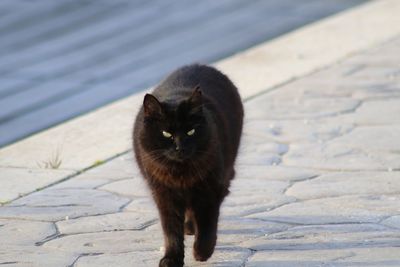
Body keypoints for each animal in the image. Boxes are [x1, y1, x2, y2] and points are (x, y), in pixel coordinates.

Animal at [133, 63, 242, 266]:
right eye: (166, 134)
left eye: (191, 131)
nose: (180, 147)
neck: (180, 173)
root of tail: (201, 65)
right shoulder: (164, 195)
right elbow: (171, 231)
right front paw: (171, 258)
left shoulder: (209, 190)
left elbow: (208, 225)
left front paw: (202, 252)